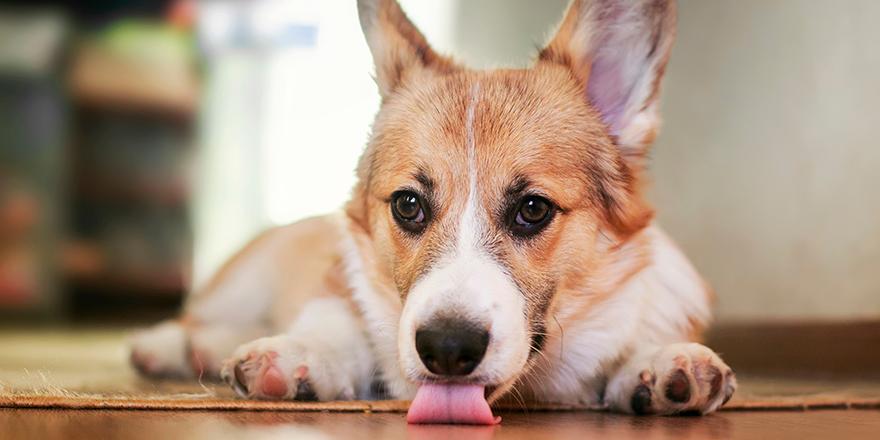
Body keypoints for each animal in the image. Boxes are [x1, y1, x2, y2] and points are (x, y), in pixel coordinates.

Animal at [131, 0, 736, 422]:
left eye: (533, 209)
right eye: (408, 205)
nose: (446, 349)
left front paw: (662, 363)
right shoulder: (339, 286)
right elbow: (338, 325)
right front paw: (303, 354)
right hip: (245, 282)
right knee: (198, 316)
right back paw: (165, 346)